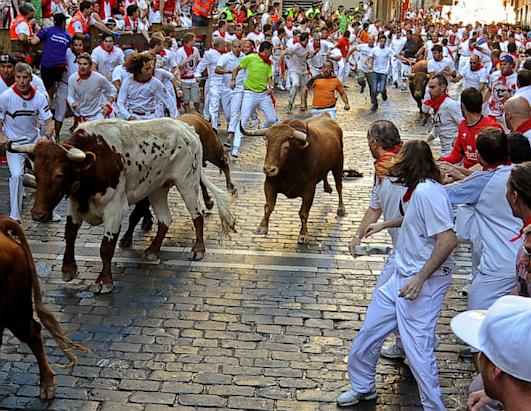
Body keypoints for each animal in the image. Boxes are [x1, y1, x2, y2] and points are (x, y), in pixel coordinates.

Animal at [241, 114, 344, 243]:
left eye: (286, 147)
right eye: (267, 143)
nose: (269, 169)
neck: (290, 169)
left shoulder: (309, 189)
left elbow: (303, 212)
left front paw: (303, 234)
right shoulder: (269, 183)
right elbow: (268, 207)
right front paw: (262, 227)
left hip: (339, 164)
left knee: (339, 186)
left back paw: (341, 208)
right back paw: (327, 188)